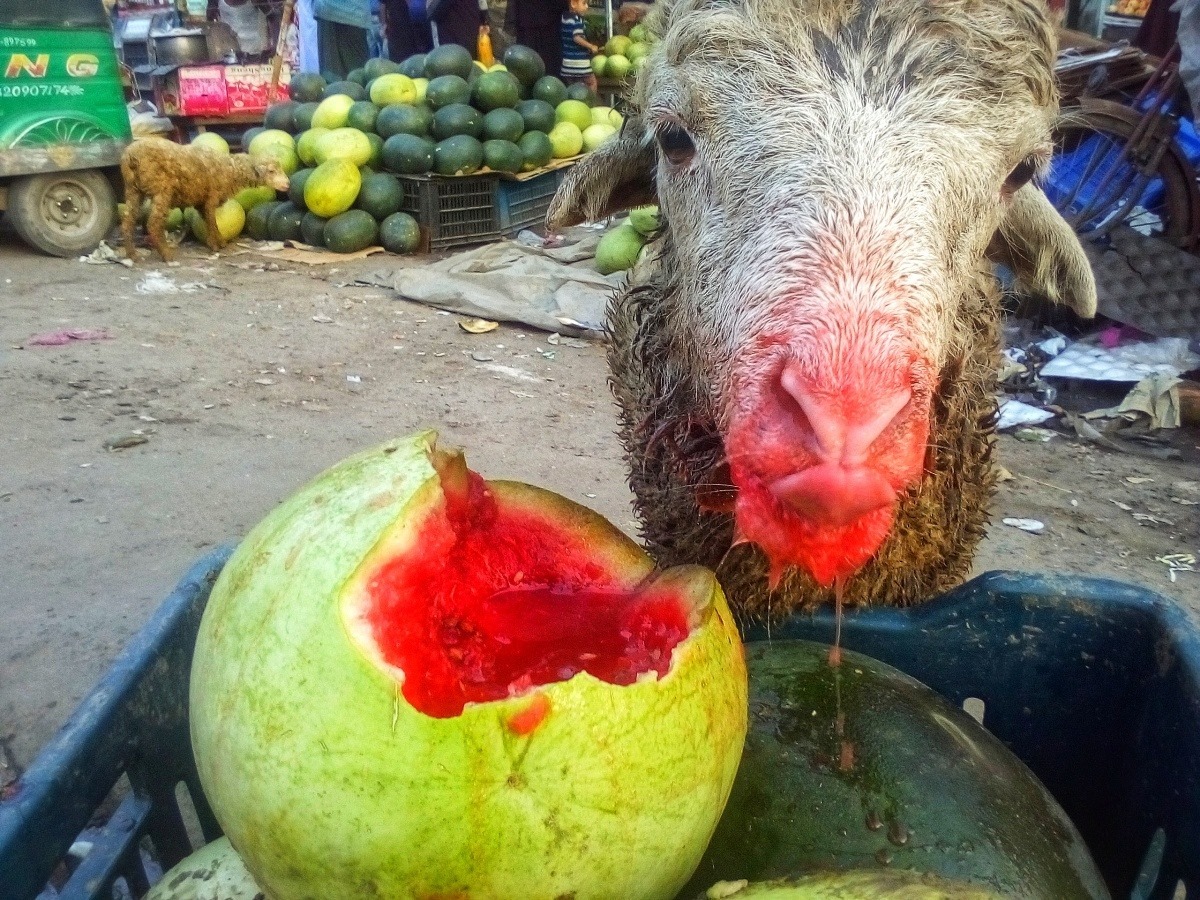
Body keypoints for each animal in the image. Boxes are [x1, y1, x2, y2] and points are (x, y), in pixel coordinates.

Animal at [120, 139, 290, 262]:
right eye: (271, 171)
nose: (288, 184)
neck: (231, 170)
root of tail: (130, 156)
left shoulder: (201, 202)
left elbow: (209, 222)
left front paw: (217, 242)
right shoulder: (211, 197)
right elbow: (212, 222)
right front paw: (216, 246)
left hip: (133, 189)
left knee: (128, 221)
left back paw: (132, 255)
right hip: (161, 190)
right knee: (153, 223)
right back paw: (167, 255)